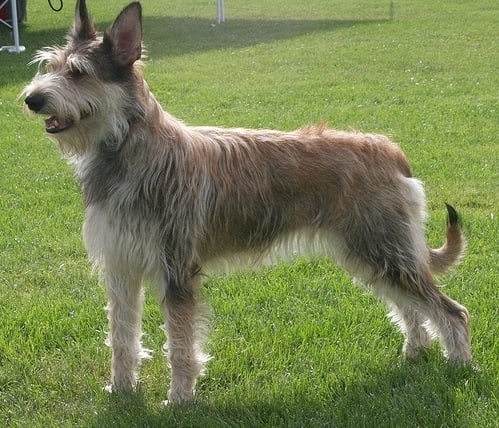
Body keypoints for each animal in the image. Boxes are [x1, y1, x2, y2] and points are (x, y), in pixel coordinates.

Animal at [24, 1, 472, 402]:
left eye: (78, 73)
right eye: (50, 66)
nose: (32, 99)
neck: (130, 149)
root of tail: (390, 150)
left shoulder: (177, 272)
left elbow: (181, 344)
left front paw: (179, 398)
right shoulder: (120, 269)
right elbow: (122, 337)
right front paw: (120, 390)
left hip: (384, 250)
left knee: (451, 311)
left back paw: (461, 366)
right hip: (373, 255)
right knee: (411, 308)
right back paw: (415, 351)